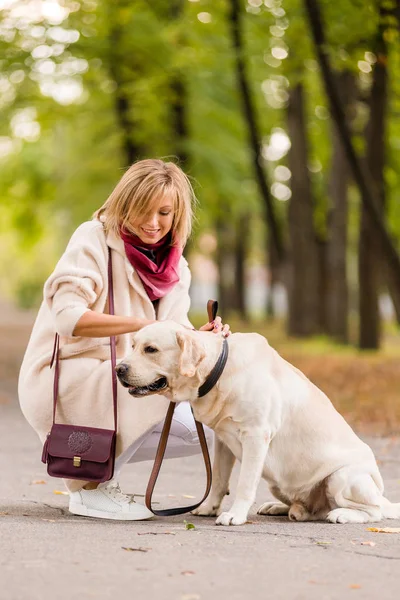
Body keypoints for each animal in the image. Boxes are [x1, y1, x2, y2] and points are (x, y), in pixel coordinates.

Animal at [115, 324, 400, 524]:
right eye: (133, 345)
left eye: (151, 349)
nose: (119, 369)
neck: (218, 371)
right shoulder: (223, 440)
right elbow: (219, 480)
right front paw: (208, 508)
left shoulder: (255, 435)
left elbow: (245, 483)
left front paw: (235, 515)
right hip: (280, 484)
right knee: (311, 509)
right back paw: (287, 509)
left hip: (342, 477)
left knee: (373, 510)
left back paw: (343, 514)